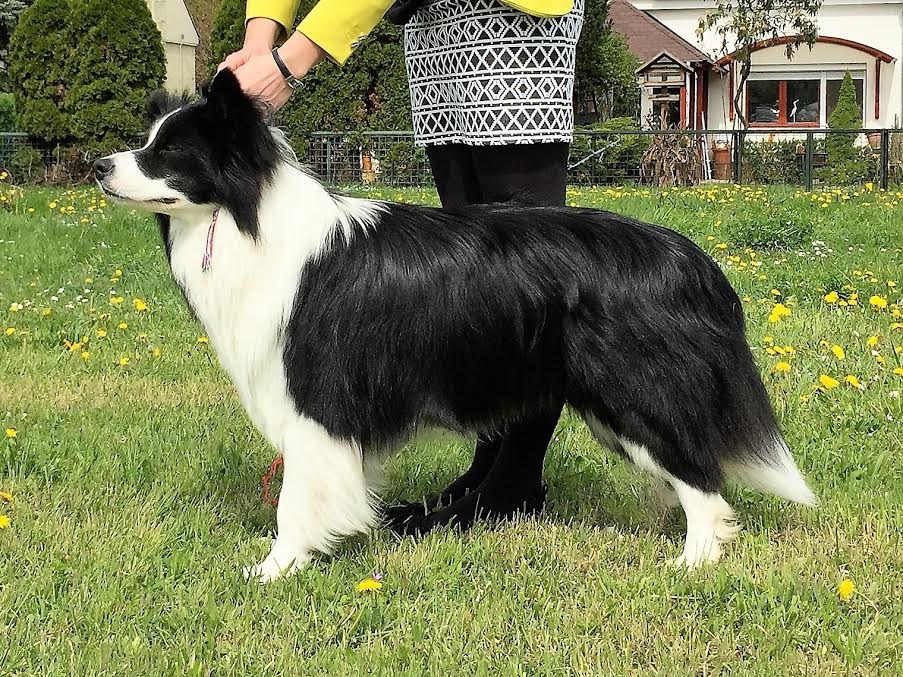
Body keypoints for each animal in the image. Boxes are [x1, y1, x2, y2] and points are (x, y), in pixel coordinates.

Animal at [94, 70, 815, 582]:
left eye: (169, 152)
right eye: (147, 140)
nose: (100, 165)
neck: (249, 218)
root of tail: (691, 258)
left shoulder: (317, 398)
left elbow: (296, 496)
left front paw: (276, 568)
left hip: (633, 390)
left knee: (700, 472)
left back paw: (693, 562)